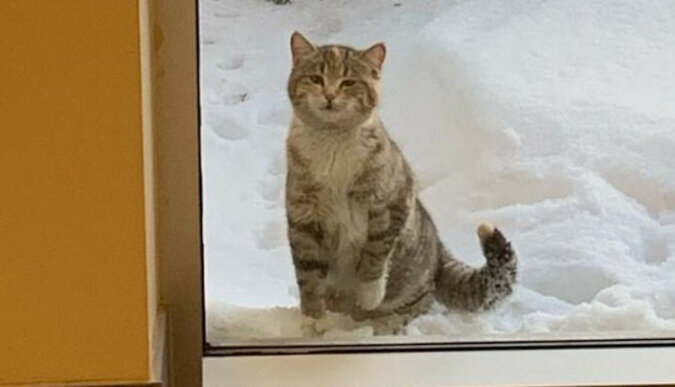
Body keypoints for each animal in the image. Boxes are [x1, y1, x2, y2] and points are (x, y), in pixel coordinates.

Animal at [284, 31, 516, 334]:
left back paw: (385, 322)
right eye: (315, 78)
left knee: (422, 301)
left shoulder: (391, 202)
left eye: (348, 82)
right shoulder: (303, 217)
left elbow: (375, 254)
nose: (330, 95)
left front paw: (369, 294)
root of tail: (439, 251)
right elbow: (308, 274)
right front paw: (313, 319)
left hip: (413, 284)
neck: (332, 142)